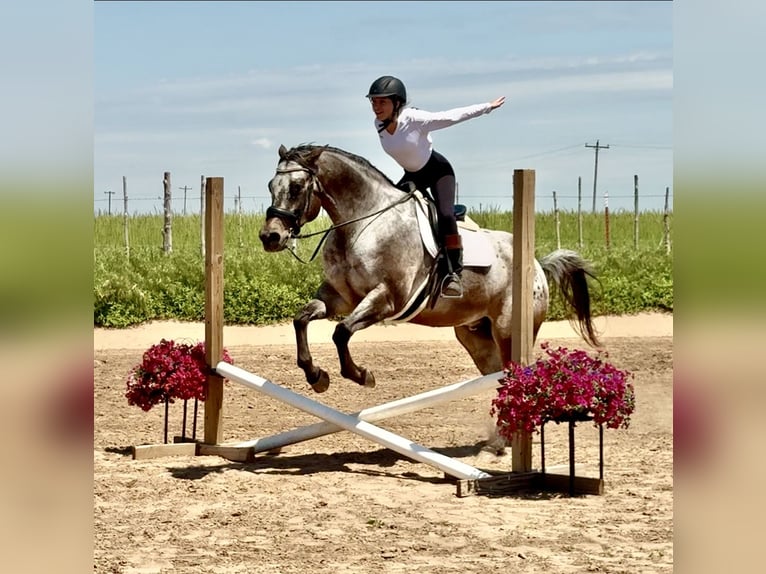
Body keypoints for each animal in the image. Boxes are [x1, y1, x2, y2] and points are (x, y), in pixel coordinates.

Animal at [259, 143, 600, 393]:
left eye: (297, 186)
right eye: (271, 185)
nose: (270, 237)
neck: (362, 224)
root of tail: (537, 265)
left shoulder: (386, 298)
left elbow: (341, 332)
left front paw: (361, 375)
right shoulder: (340, 298)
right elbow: (301, 319)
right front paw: (316, 376)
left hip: (509, 330)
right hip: (475, 334)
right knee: (495, 377)